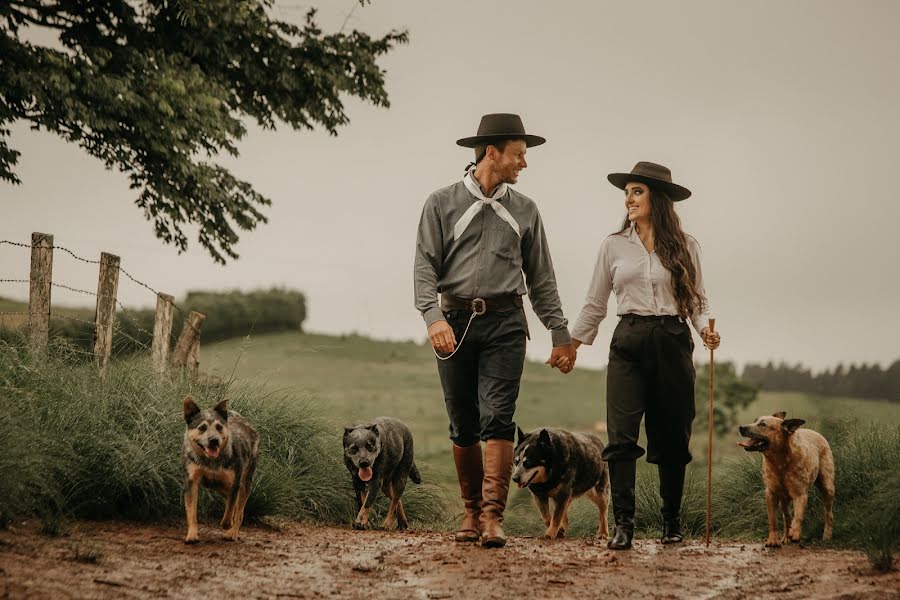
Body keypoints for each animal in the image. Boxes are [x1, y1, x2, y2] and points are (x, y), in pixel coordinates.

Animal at [183, 394, 258, 544]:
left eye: (219, 427)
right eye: (202, 427)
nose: (214, 440)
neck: (211, 461)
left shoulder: (234, 483)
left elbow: (230, 511)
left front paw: (227, 525)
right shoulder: (191, 480)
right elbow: (191, 511)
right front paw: (192, 535)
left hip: (246, 481)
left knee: (239, 510)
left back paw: (232, 533)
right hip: (219, 487)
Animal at [740, 412, 836, 548]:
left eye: (763, 424)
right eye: (755, 421)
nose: (741, 427)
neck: (780, 463)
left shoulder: (800, 494)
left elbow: (798, 516)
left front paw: (795, 533)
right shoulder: (771, 493)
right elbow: (773, 520)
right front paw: (773, 540)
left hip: (827, 486)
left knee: (828, 514)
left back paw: (826, 536)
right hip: (783, 500)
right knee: (787, 517)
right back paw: (785, 537)